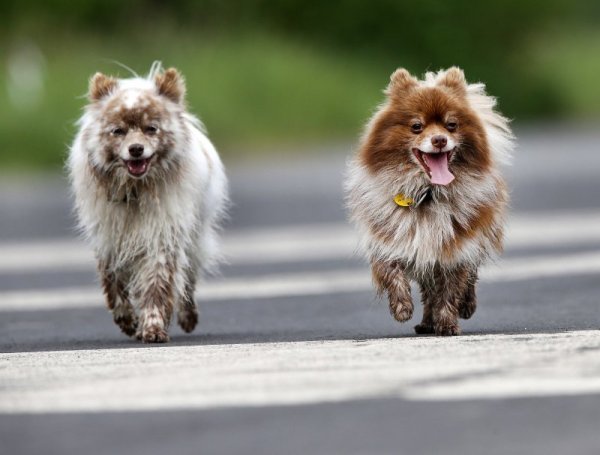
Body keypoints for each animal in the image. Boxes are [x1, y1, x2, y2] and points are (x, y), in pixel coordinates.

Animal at [69, 63, 229, 342]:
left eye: (151, 128)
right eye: (118, 131)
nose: (135, 149)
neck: (136, 190)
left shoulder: (162, 236)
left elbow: (157, 285)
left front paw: (153, 327)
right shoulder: (108, 238)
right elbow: (113, 283)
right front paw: (127, 320)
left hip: (195, 238)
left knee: (188, 280)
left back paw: (188, 316)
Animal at [344, 68, 512, 338]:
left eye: (451, 125)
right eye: (416, 126)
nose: (440, 139)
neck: (427, 194)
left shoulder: (454, 246)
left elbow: (451, 289)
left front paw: (448, 323)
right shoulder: (393, 239)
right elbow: (391, 272)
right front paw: (402, 307)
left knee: (467, 279)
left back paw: (465, 307)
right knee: (429, 291)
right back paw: (426, 322)